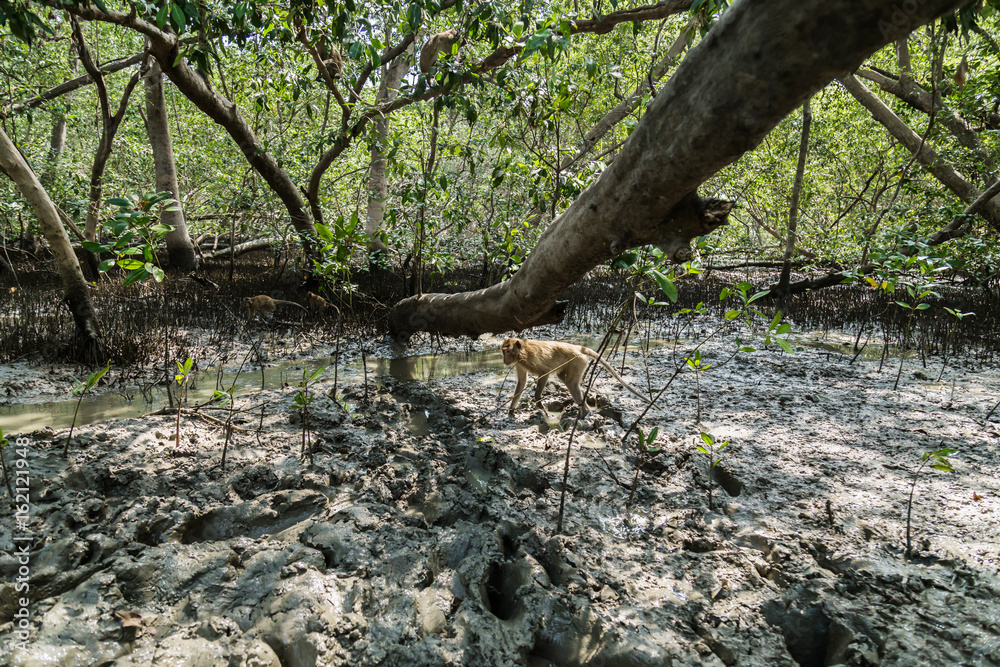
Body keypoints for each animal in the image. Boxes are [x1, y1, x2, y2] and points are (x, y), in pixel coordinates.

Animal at [500, 340, 648, 418]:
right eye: (503, 351)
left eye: (507, 351)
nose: (504, 360)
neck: (521, 351)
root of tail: (576, 347)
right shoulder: (519, 363)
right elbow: (521, 383)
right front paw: (511, 410)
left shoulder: (528, 360)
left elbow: (545, 372)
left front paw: (538, 402)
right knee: (566, 380)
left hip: (578, 361)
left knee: (571, 384)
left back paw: (585, 412)